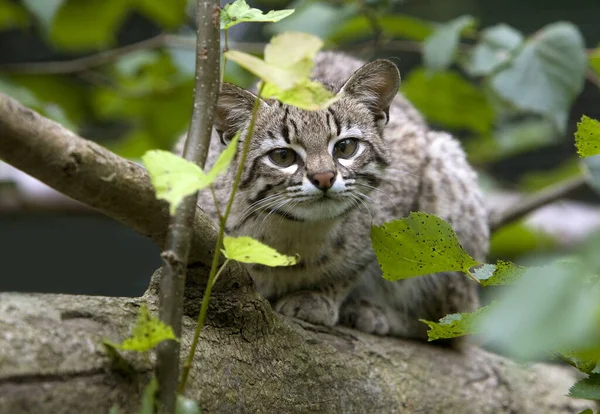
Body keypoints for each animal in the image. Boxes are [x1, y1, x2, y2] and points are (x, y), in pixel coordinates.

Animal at [180, 51, 490, 340]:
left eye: (345, 148)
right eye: (283, 156)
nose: (324, 178)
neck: (296, 229)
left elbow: (357, 262)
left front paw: (316, 296)